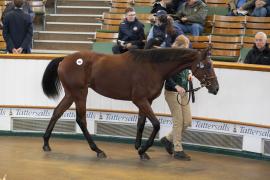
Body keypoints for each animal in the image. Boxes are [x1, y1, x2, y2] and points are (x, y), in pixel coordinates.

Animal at [41, 47, 219, 160]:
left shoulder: (146, 101)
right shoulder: (139, 100)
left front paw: (140, 149)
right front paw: (143, 149)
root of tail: (64, 59)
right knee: (81, 120)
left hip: (71, 94)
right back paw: (98, 150)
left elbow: (141, 123)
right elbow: (156, 124)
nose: (216, 88)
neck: (153, 67)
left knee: (57, 112)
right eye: (207, 65)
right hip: (80, 93)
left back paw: (46, 144)